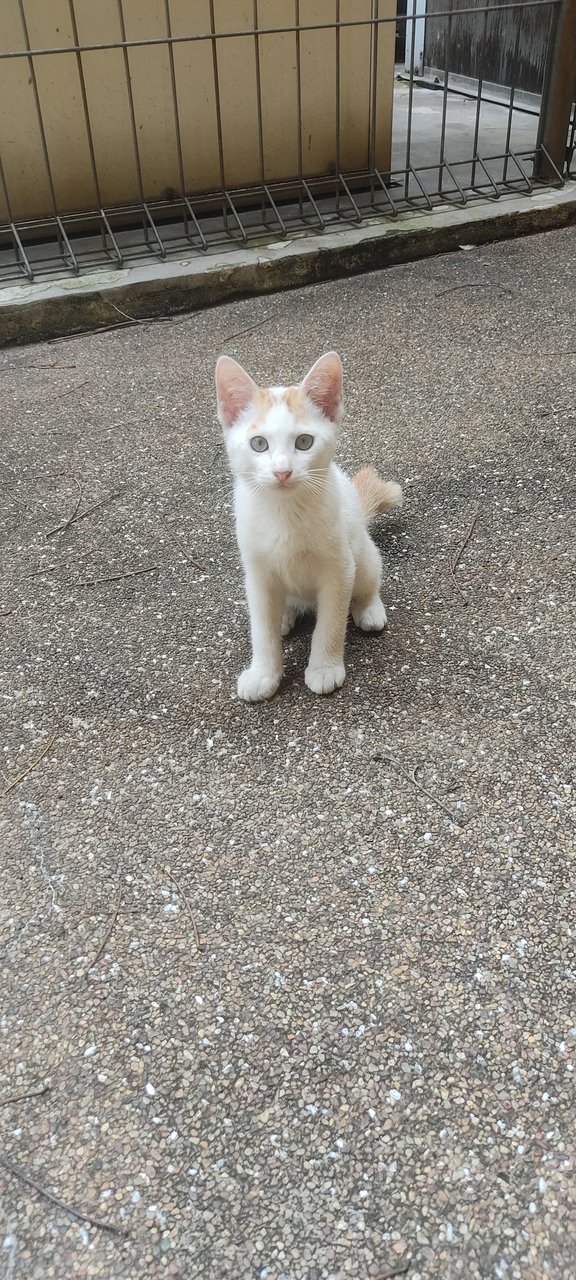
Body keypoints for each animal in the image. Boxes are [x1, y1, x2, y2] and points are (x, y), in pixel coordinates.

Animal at [215, 350, 399, 701]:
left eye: (303, 442)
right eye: (259, 444)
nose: (282, 471)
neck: (285, 512)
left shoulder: (339, 569)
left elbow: (331, 623)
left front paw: (324, 668)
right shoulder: (256, 573)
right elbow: (261, 629)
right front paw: (263, 674)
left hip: (363, 552)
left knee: (369, 579)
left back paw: (368, 609)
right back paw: (284, 617)